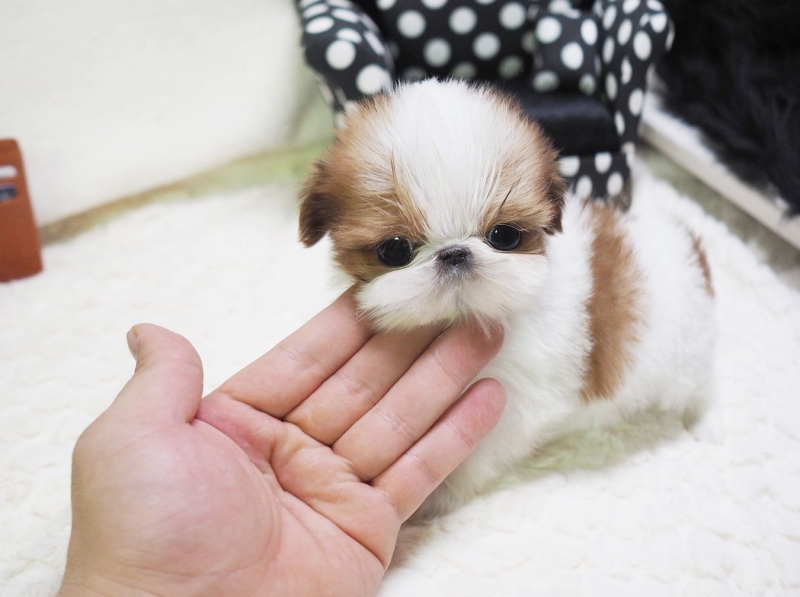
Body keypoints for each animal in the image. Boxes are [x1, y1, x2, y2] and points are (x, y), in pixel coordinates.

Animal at [298, 79, 712, 516]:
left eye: (504, 235)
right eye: (394, 250)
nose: (455, 253)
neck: (467, 316)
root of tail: (689, 243)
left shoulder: (514, 400)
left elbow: (480, 446)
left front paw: (444, 490)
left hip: (689, 357)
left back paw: (701, 425)